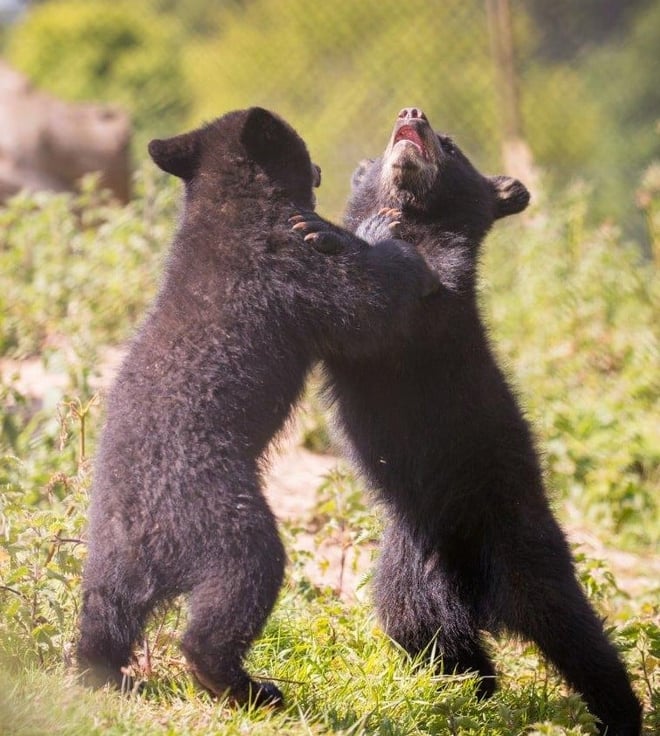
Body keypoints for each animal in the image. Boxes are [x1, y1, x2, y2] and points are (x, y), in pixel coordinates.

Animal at [76, 107, 438, 707]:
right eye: (302, 147)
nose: (320, 168)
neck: (233, 204)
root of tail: (147, 535)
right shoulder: (292, 268)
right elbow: (367, 306)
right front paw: (383, 234)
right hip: (227, 521)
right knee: (236, 592)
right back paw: (244, 684)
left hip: (109, 557)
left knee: (104, 613)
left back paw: (102, 672)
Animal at [294, 107, 641, 735]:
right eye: (395, 129)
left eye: (450, 144)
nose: (412, 113)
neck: (414, 217)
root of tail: (476, 594)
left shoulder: (439, 307)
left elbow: (408, 304)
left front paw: (329, 231)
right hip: (406, 573)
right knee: (430, 636)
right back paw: (470, 693)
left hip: (522, 546)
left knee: (574, 633)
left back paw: (619, 712)